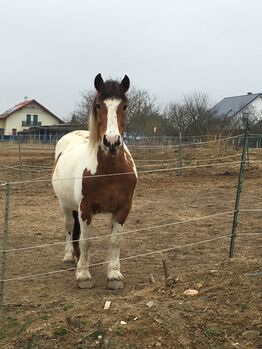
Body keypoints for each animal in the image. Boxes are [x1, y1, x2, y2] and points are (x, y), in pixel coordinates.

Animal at [51, 72, 137, 288]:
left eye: (125, 105)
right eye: (99, 105)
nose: (112, 142)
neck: (110, 172)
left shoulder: (124, 208)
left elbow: (115, 240)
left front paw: (114, 275)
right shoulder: (85, 208)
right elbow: (86, 240)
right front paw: (83, 275)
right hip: (65, 204)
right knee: (68, 227)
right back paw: (69, 258)